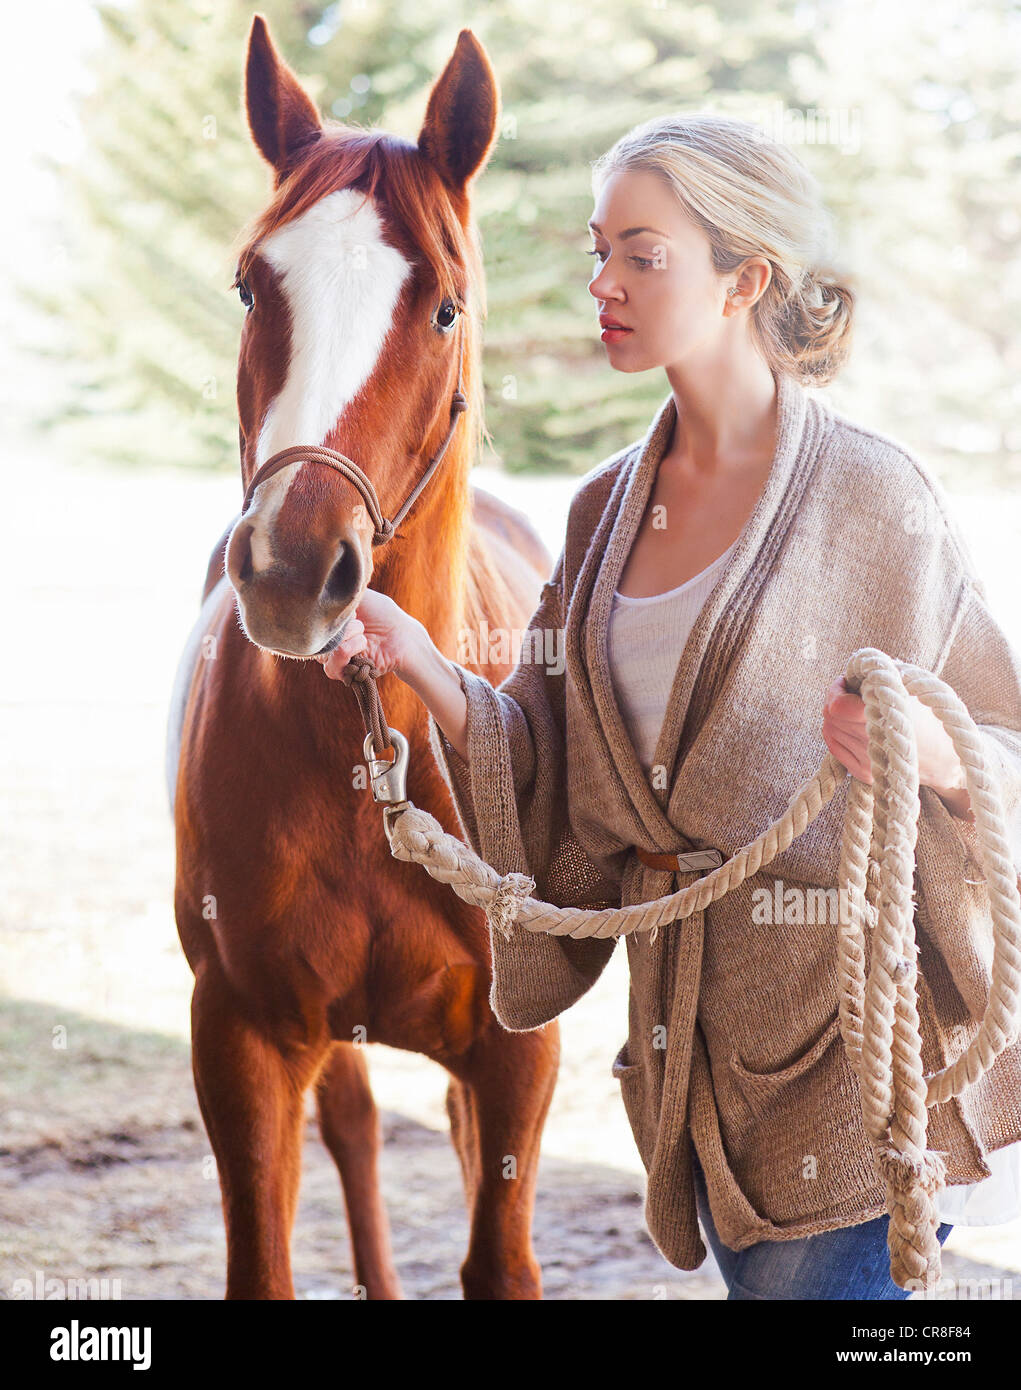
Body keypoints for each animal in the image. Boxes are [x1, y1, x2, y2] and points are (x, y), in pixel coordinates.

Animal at [166, 17, 558, 1300]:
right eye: (252, 283)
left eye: (442, 307)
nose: (293, 570)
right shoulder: (241, 1036)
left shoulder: (516, 1048)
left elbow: (500, 1255)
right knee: (354, 1128)